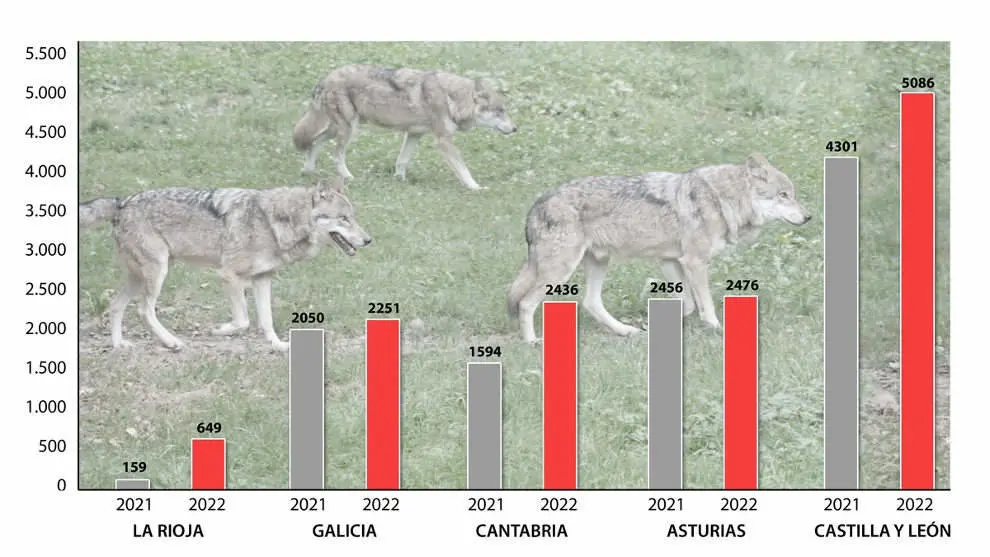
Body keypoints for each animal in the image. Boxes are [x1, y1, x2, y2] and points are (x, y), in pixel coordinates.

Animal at [79, 178, 372, 352]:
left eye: (353, 217)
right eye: (344, 219)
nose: (368, 240)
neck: (275, 223)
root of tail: (121, 202)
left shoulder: (263, 278)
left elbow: (266, 320)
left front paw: (278, 346)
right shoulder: (229, 275)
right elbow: (243, 321)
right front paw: (220, 330)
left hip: (139, 277)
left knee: (115, 305)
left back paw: (119, 345)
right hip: (157, 273)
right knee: (144, 310)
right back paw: (172, 342)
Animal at [292, 63, 517, 190]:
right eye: (499, 111)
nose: (515, 129)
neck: (451, 98)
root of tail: (325, 78)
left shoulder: (414, 134)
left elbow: (402, 161)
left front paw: (399, 181)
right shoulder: (444, 141)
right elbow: (464, 170)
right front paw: (475, 188)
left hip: (338, 129)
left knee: (314, 143)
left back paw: (307, 170)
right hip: (348, 130)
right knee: (336, 157)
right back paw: (348, 178)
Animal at [506, 154, 812, 343]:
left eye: (793, 195)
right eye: (783, 195)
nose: (808, 217)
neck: (722, 199)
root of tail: (537, 204)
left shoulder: (670, 261)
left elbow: (688, 304)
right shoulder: (694, 262)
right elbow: (706, 305)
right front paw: (715, 328)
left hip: (598, 263)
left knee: (591, 303)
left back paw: (626, 331)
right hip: (561, 272)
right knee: (525, 303)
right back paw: (532, 341)